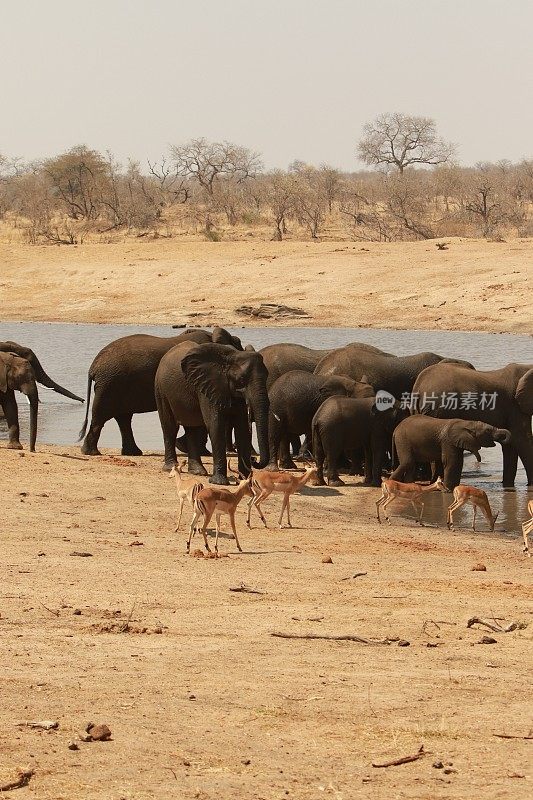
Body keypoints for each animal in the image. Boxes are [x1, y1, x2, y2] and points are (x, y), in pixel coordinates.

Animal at [78, 322, 243, 454]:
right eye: (238, 342)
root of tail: (93, 366)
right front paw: (198, 451)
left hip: (115, 384)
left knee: (123, 418)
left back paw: (133, 453)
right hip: (109, 384)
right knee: (102, 416)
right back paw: (92, 452)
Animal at [154, 342, 270, 482]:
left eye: (267, 377)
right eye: (241, 379)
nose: (254, 459)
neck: (233, 355)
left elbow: (242, 429)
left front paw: (245, 479)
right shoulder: (209, 387)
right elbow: (216, 425)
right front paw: (220, 482)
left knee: (193, 429)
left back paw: (198, 472)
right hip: (161, 390)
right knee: (170, 427)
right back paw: (171, 467)